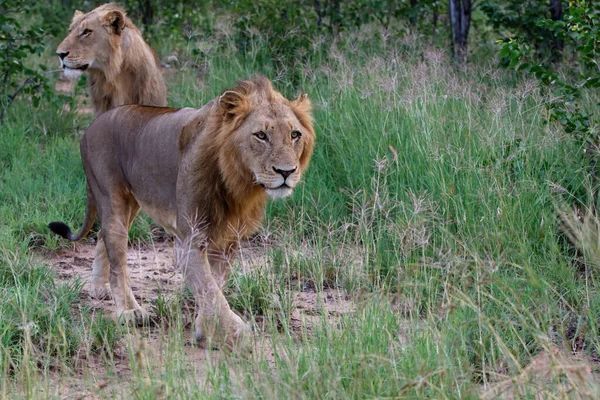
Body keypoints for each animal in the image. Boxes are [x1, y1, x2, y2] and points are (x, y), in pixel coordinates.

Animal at [49, 76, 316, 350]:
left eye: (295, 134)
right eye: (261, 135)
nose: (286, 171)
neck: (238, 182)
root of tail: (93, 124)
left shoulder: (228, 241)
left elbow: (213, 284)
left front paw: (206, 329)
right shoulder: (189, 240)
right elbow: (210, 288)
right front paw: (236, 333)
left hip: (133, 202)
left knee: (103, 239)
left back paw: (99, 287)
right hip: (111, 198)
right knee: (117, 257)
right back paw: (130, 311)